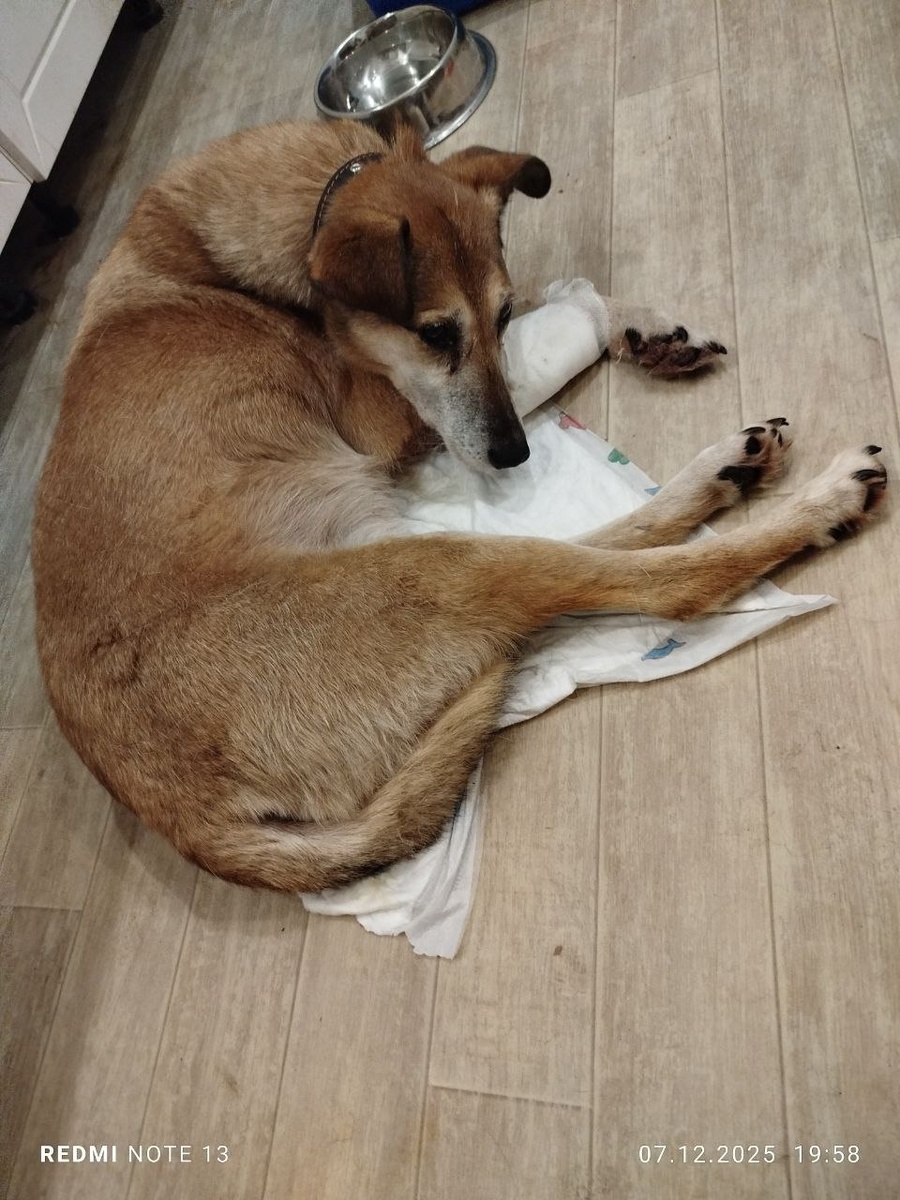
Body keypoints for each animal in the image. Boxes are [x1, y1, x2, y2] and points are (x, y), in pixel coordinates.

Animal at [32, 118, 888, 893]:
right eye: (435, 334)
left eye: (498, 315)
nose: (515, 455)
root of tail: (183, 818)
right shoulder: (395, 420)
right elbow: (564, 317)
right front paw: (613, 321)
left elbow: (557, 306)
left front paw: (646, 327)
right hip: (433, 568)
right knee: (668, 578)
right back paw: (821, 499)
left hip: (408, 550)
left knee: (611, 543)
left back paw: (725, 471)